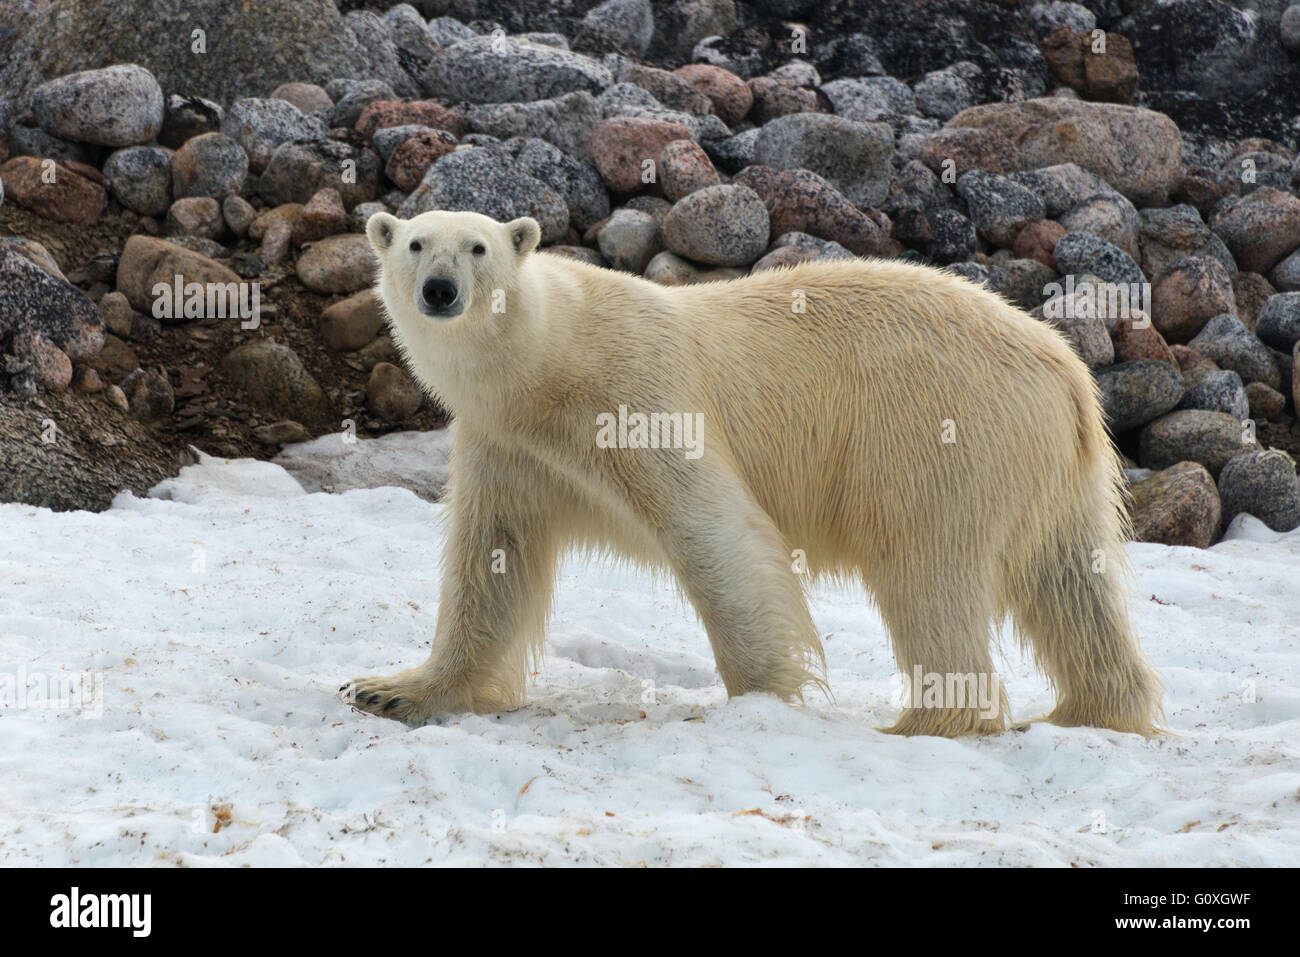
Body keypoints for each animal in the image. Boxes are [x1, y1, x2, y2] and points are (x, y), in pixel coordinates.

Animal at [340, 208, 1164, 733]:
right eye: (416, 243)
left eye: (478, 248)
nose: (440, 289)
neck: (548, 366)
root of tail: (1065, 368)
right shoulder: (510, 445)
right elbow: (493, 561)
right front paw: (391, 690)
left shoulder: (637, 398)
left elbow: (716, 533)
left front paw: (762, 696)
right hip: (1049, 468)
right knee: (1070, 580)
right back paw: (1096, 708)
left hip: (934, 435)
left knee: (927, 570)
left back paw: (929, 721)